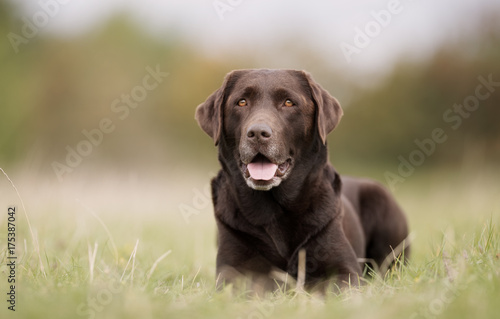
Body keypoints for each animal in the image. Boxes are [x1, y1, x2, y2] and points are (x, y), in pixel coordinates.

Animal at [195, 69, 410, 294]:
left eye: (289, 103)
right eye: (242, 102)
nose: (257, 133)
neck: (274, 208)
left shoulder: (345, 269)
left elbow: (326, 289)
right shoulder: (232, 270)